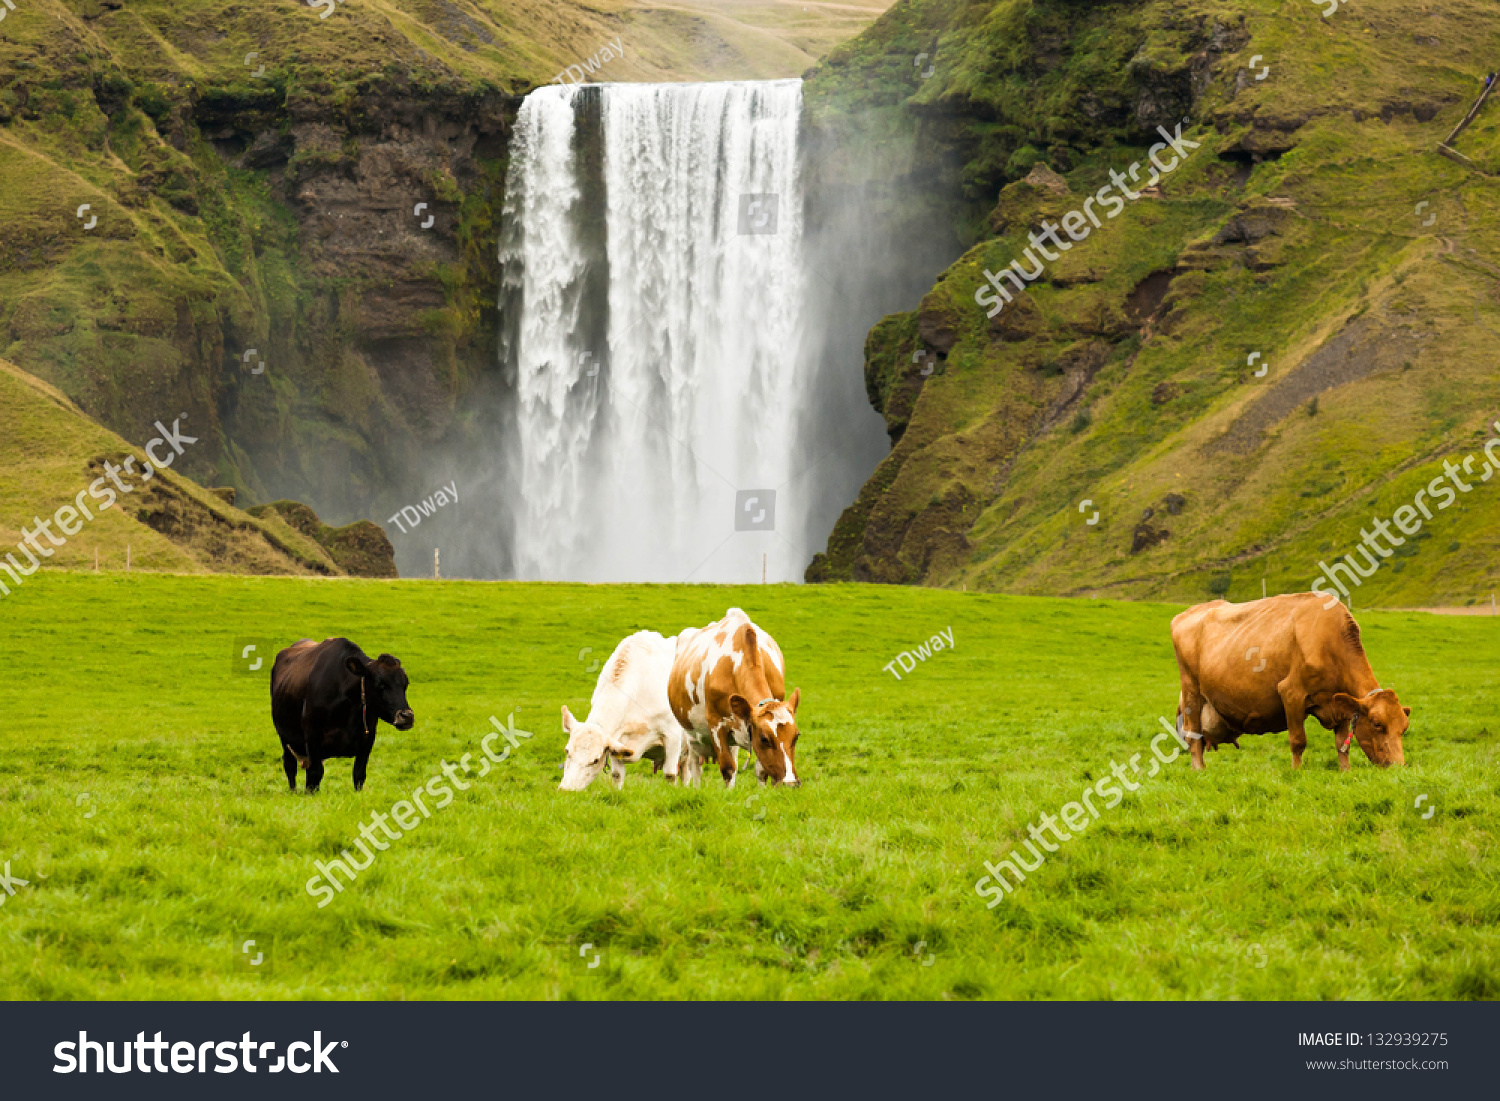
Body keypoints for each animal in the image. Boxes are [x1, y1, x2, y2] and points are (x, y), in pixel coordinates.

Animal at [271, 639, 414, 792]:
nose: (407, 716)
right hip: (284, 737)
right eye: (380, 684)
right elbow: (314, 775)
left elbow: (359, 774)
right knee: (290, 766)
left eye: (405, 684)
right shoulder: (312, 736)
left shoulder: (368, 738)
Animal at [561, 630, 684, 792]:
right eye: (567, 751)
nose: (566, 791)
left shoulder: (672, 735)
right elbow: (617, 775)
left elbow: (670, 774)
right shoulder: (616, 740)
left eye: (595, 760)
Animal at [672, 609, 804, 792]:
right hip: (690, 734)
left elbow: (760, 770)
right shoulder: (716, 724)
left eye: (796, 736)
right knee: (694, 765)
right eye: (764, 739)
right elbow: (727, 767)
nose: (790, 784)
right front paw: (728, 795)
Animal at [1170, 594, 1404, 774]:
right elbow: (1298, 741)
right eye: (1377, 724)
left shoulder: (1340, 704)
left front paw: (1345, 771)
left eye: (1404, 728)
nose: (1398, 767)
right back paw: (1199, 769)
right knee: (1193, 735)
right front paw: (1297, 771)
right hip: (1191, 692)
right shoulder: (1291, 693)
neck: (1329, 640)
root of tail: (1189, 612)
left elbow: (1341, 745)